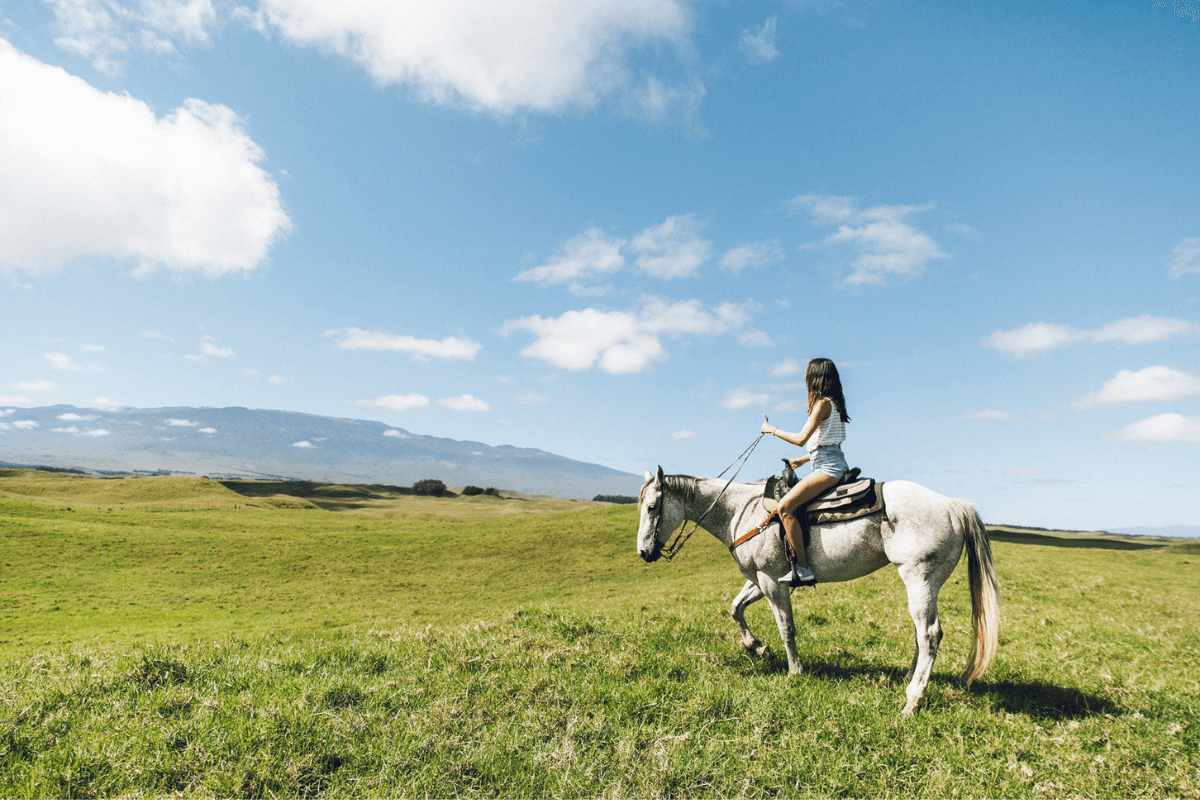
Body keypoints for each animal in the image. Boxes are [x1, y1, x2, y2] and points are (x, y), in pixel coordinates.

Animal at [636, 466, 1000, 715]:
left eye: (652, 507)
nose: (643, 552)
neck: (742, 511)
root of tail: (952, 505)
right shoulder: (760, 579)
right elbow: (736, 608)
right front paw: (757, 647)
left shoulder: (772, 581)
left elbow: (786, 627)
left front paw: (795, 671)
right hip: (921, 585)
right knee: (921, 634)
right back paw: (908, 679)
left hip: (920, 578)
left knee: (930, 634)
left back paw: (913, 699)